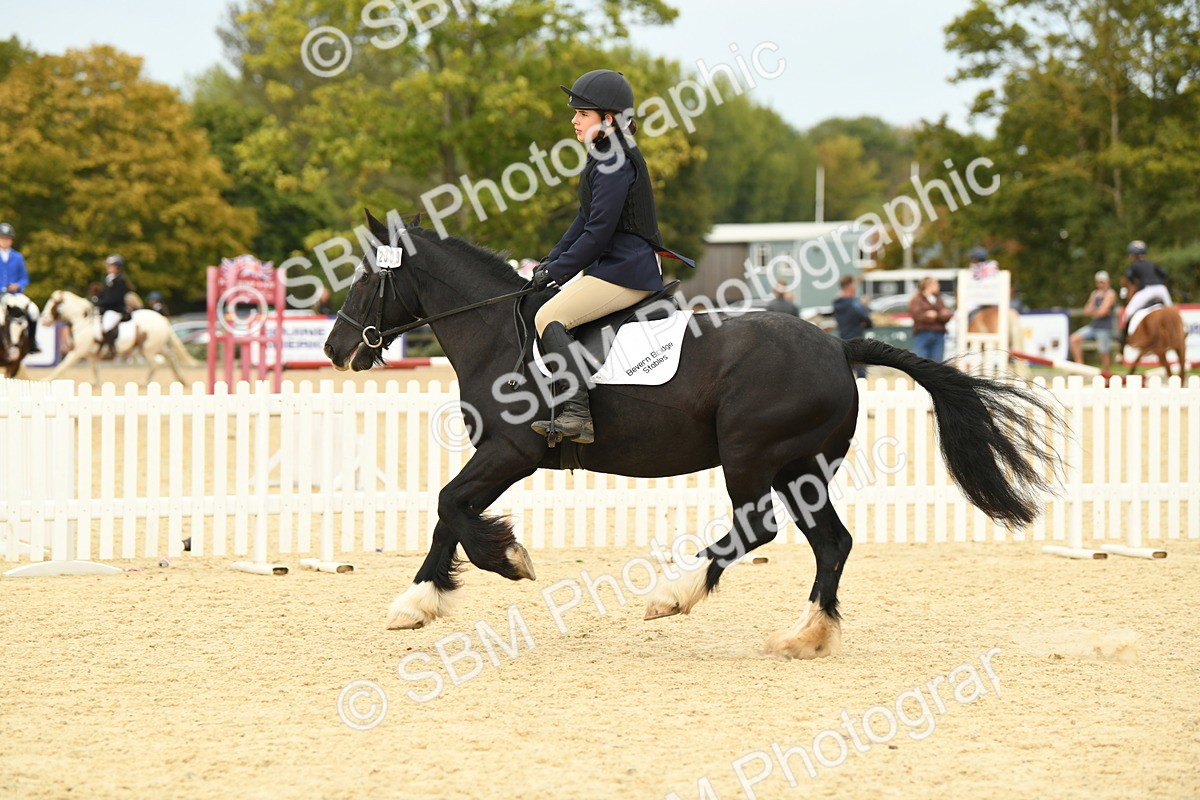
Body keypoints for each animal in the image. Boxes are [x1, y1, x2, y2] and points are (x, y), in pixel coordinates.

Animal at [38, 290, 194, 384]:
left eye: (54, 304)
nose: (44, 321)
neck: (83, 322)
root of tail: (162, 319)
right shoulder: (90, 354)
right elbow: (94, 368)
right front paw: (96, 383)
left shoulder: (77, 352)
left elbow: (61, 367)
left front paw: (47, 379)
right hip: (157, 347)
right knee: (171, 359)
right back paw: (181, 379)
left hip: (148, 349)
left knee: (156, 364)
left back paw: (144, 382)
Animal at [323, 211, 1060, 659]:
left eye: (364, 278)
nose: (335, 348)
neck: (498, 333)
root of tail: (837, 345)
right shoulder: (499, 455)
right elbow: (449, 511)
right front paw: (423, 598)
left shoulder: (512, 450)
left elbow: (451, 505)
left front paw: (503, 561)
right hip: (802, 467)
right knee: (832, 543)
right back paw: (805, 635)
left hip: (751, 456)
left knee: (756, 529)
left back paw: (672, 596)